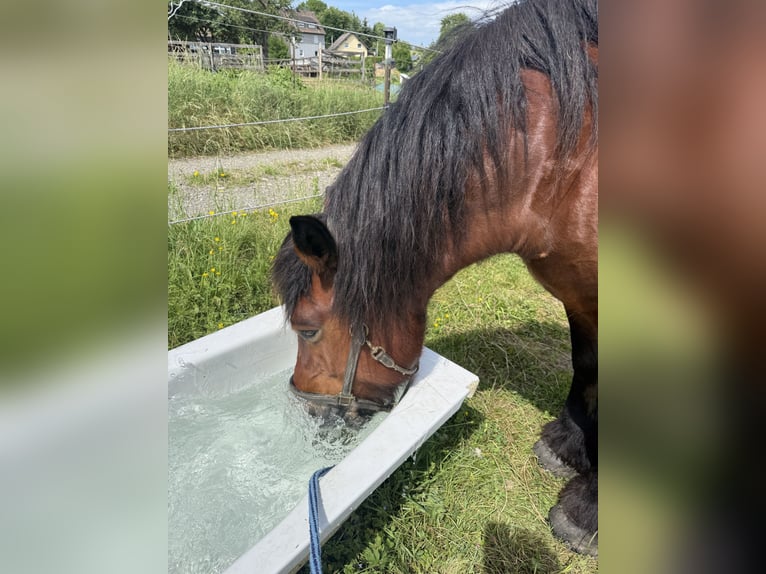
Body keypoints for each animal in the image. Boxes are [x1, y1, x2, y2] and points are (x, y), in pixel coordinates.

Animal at [272, 0, 598, 557]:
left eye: (307, 329)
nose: (308, 415)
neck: (563, 161)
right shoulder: (577, 289)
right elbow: (586, 364)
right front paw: (568, 446)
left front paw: (587, 510)